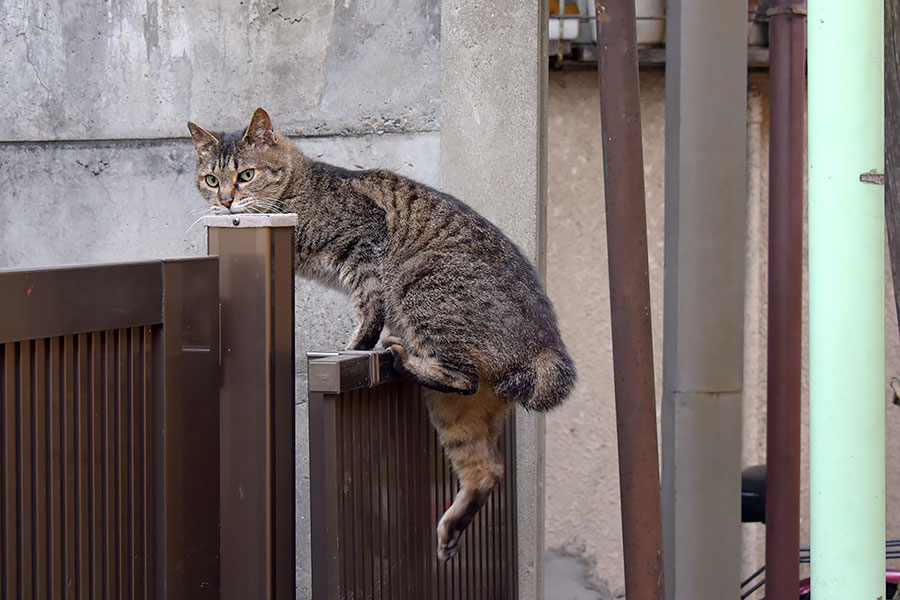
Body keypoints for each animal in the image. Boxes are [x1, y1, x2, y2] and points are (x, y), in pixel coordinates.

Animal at [188, 109, 576, 564]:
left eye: (246, 175)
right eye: (211, 179)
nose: (225, 201)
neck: (300, 192)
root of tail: (547, 345)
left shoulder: (361, 242)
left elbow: (369, 310)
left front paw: (354, 348)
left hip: (420, 281)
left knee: (461, 377)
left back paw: (401, 356)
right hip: (455, 411)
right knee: (486, 466)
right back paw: (449, 534)